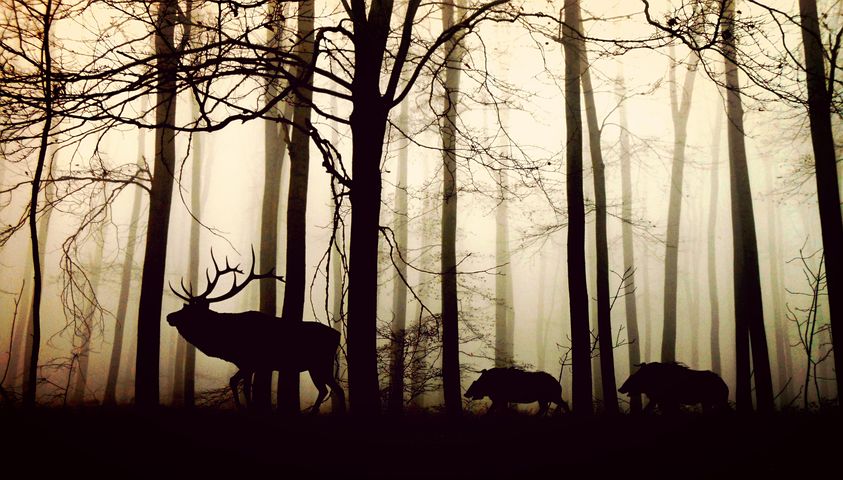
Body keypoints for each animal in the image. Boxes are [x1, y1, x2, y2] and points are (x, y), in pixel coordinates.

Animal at [166, 248, 345, 414]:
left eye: (189, 311)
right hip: (319, 366)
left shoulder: (250, 361)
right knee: (331, 389)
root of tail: (337, 335)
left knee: (331, 389)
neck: (225, 344)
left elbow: (245, 387)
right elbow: (234, 381)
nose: (169, 316)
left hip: (320, 363)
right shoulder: (246, 363)